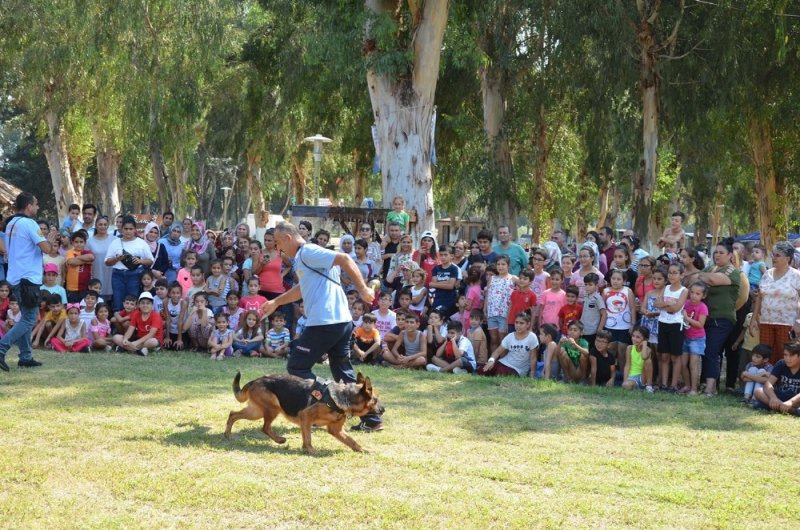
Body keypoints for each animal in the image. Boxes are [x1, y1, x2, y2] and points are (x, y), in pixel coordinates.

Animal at [223, 370, 386, 452]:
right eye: (376, 399)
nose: (384, 410)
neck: (345, 396)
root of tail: (255, 380)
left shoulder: (336, 430)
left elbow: (352, 441)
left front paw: (363, 449)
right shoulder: (306, 417)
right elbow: (307, 438)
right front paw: (311, 451)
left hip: (256, 412)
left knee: (233, 414)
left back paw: (227, 435)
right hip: (272, 409)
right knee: (264, 427)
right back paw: (279, 440)